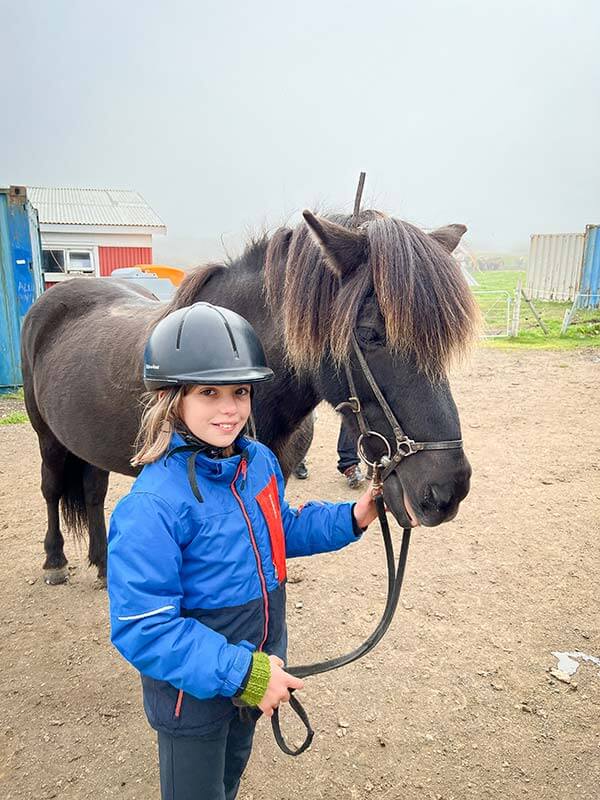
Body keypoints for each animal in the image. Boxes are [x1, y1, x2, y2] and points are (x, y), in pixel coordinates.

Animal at [19, 206, 478, 584]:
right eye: (369, 334)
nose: (447, 490)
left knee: (94, 493)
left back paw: (103, 564)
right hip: (49, 438)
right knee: (51, 489)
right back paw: (55, 562)